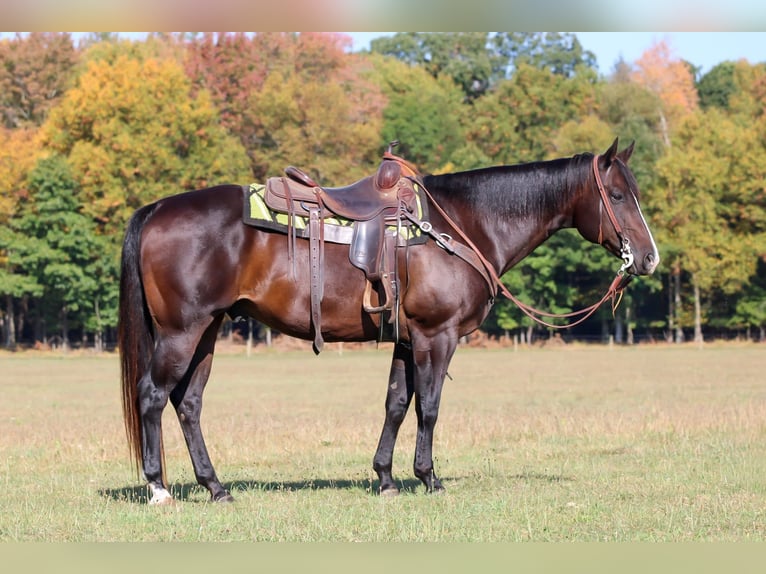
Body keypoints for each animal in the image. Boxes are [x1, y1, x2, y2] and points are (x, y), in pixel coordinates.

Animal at [118, 138, 659, 504]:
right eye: (617, 194)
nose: (649, 258)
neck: (461, 223)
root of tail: (157, 208)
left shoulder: (406, 338)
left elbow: (397, 404)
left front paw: (385, 478)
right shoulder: (437, 336)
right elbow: (430, 408)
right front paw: (429, 478)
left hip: (207, 332)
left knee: (188, 404)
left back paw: (216, 487)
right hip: (182, 332)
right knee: (153, 396)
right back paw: (159, 488)